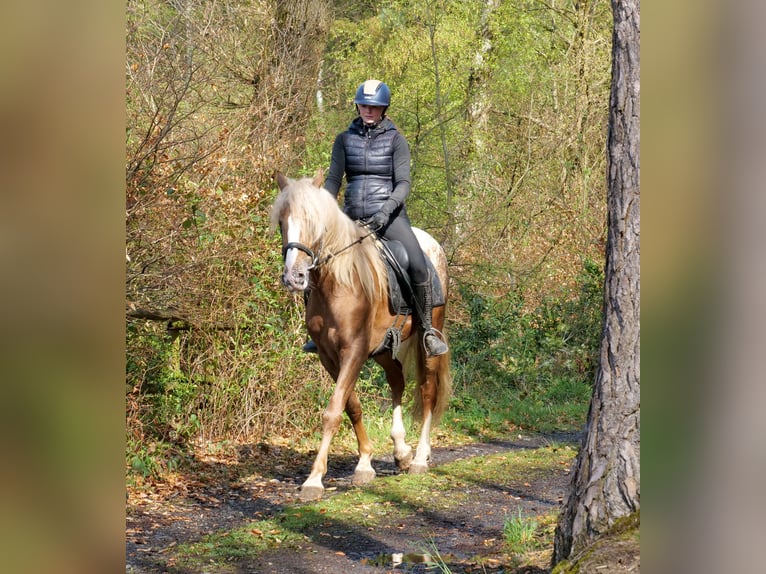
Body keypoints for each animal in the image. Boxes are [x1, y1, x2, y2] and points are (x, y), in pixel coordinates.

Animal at [270, 170, 453, 501]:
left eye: (315, 221)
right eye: (282, 222)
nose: (294, 277)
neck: (338, 284)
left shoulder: (354, 350)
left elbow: (333, 411)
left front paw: (314, 479)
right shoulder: (330, 356)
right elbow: (351, 405)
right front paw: (365, 463)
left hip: (429, 336)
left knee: (427, 391)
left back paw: (420, 458)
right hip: (382, 349)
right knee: (397, 381)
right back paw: (401, 451)